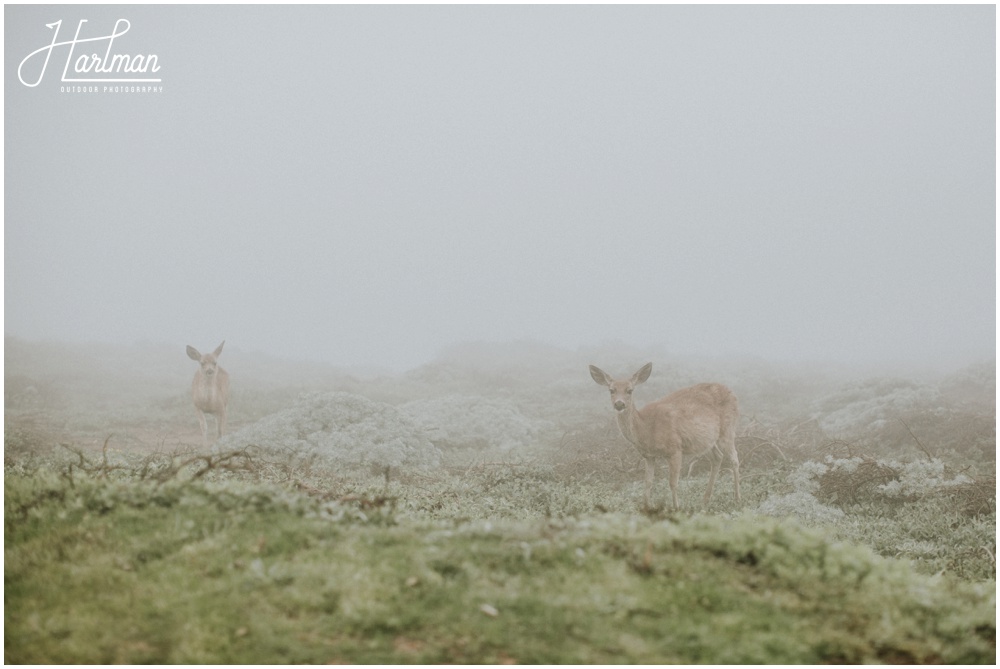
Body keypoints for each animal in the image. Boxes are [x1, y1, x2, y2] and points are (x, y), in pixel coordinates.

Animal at [584, 362, 744, 508]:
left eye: (630, 390)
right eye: (611, 390)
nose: (619, 404)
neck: (647, 429)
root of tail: (733, 393)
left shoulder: (675, 448)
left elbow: (672, 483)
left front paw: (676, 508)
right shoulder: (648, 455)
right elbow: (648, 482)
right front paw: (647, 507)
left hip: (728, 429)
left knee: (735, 458)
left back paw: (737, 498)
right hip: (706, 441)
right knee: (717, 457)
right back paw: (705, 500)